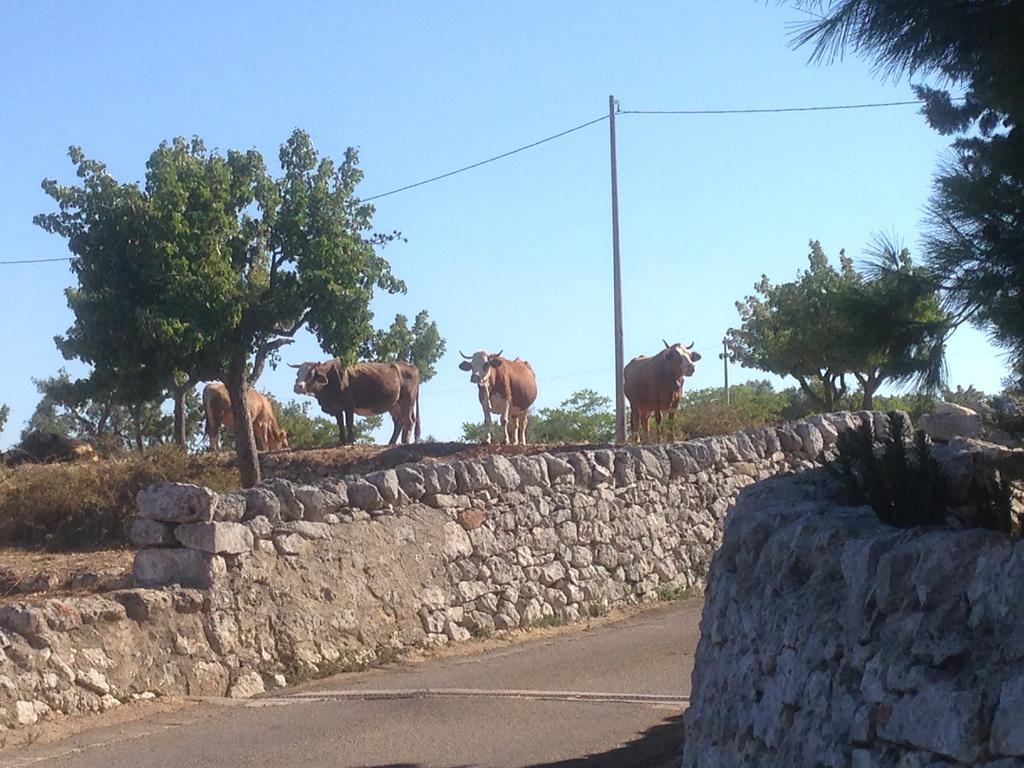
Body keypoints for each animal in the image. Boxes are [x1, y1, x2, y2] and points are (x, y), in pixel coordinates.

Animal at [288, 360, 419, 444]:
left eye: (311, 374)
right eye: (298, 373)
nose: (298, 387)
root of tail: (412, 367)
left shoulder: (349, 405)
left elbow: (349, 422)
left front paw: (350, 441)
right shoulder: (337, 408)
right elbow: (340, 423)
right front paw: (341, 441)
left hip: (408, 400)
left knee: (409, 420)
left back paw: (405, 441)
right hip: (395, 405)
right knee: (399, 421)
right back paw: (391, 442)